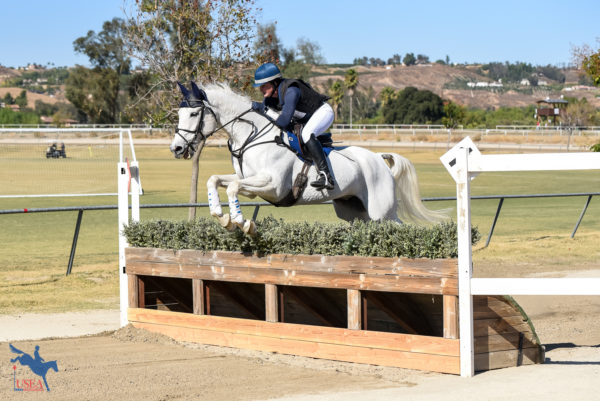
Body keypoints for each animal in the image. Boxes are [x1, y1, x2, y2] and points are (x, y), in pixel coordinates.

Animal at [169, 82, 446, 234]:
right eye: (179, 114)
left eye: (193, 114)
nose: (177, 149)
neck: (252, 135)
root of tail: (378, 158)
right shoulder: (252, 184)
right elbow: (216, 180)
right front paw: (222, 216)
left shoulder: (272, 185)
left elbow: (233, 187)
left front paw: (240, 222)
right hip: (355, 212)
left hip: (381, 211)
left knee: (399, 227)